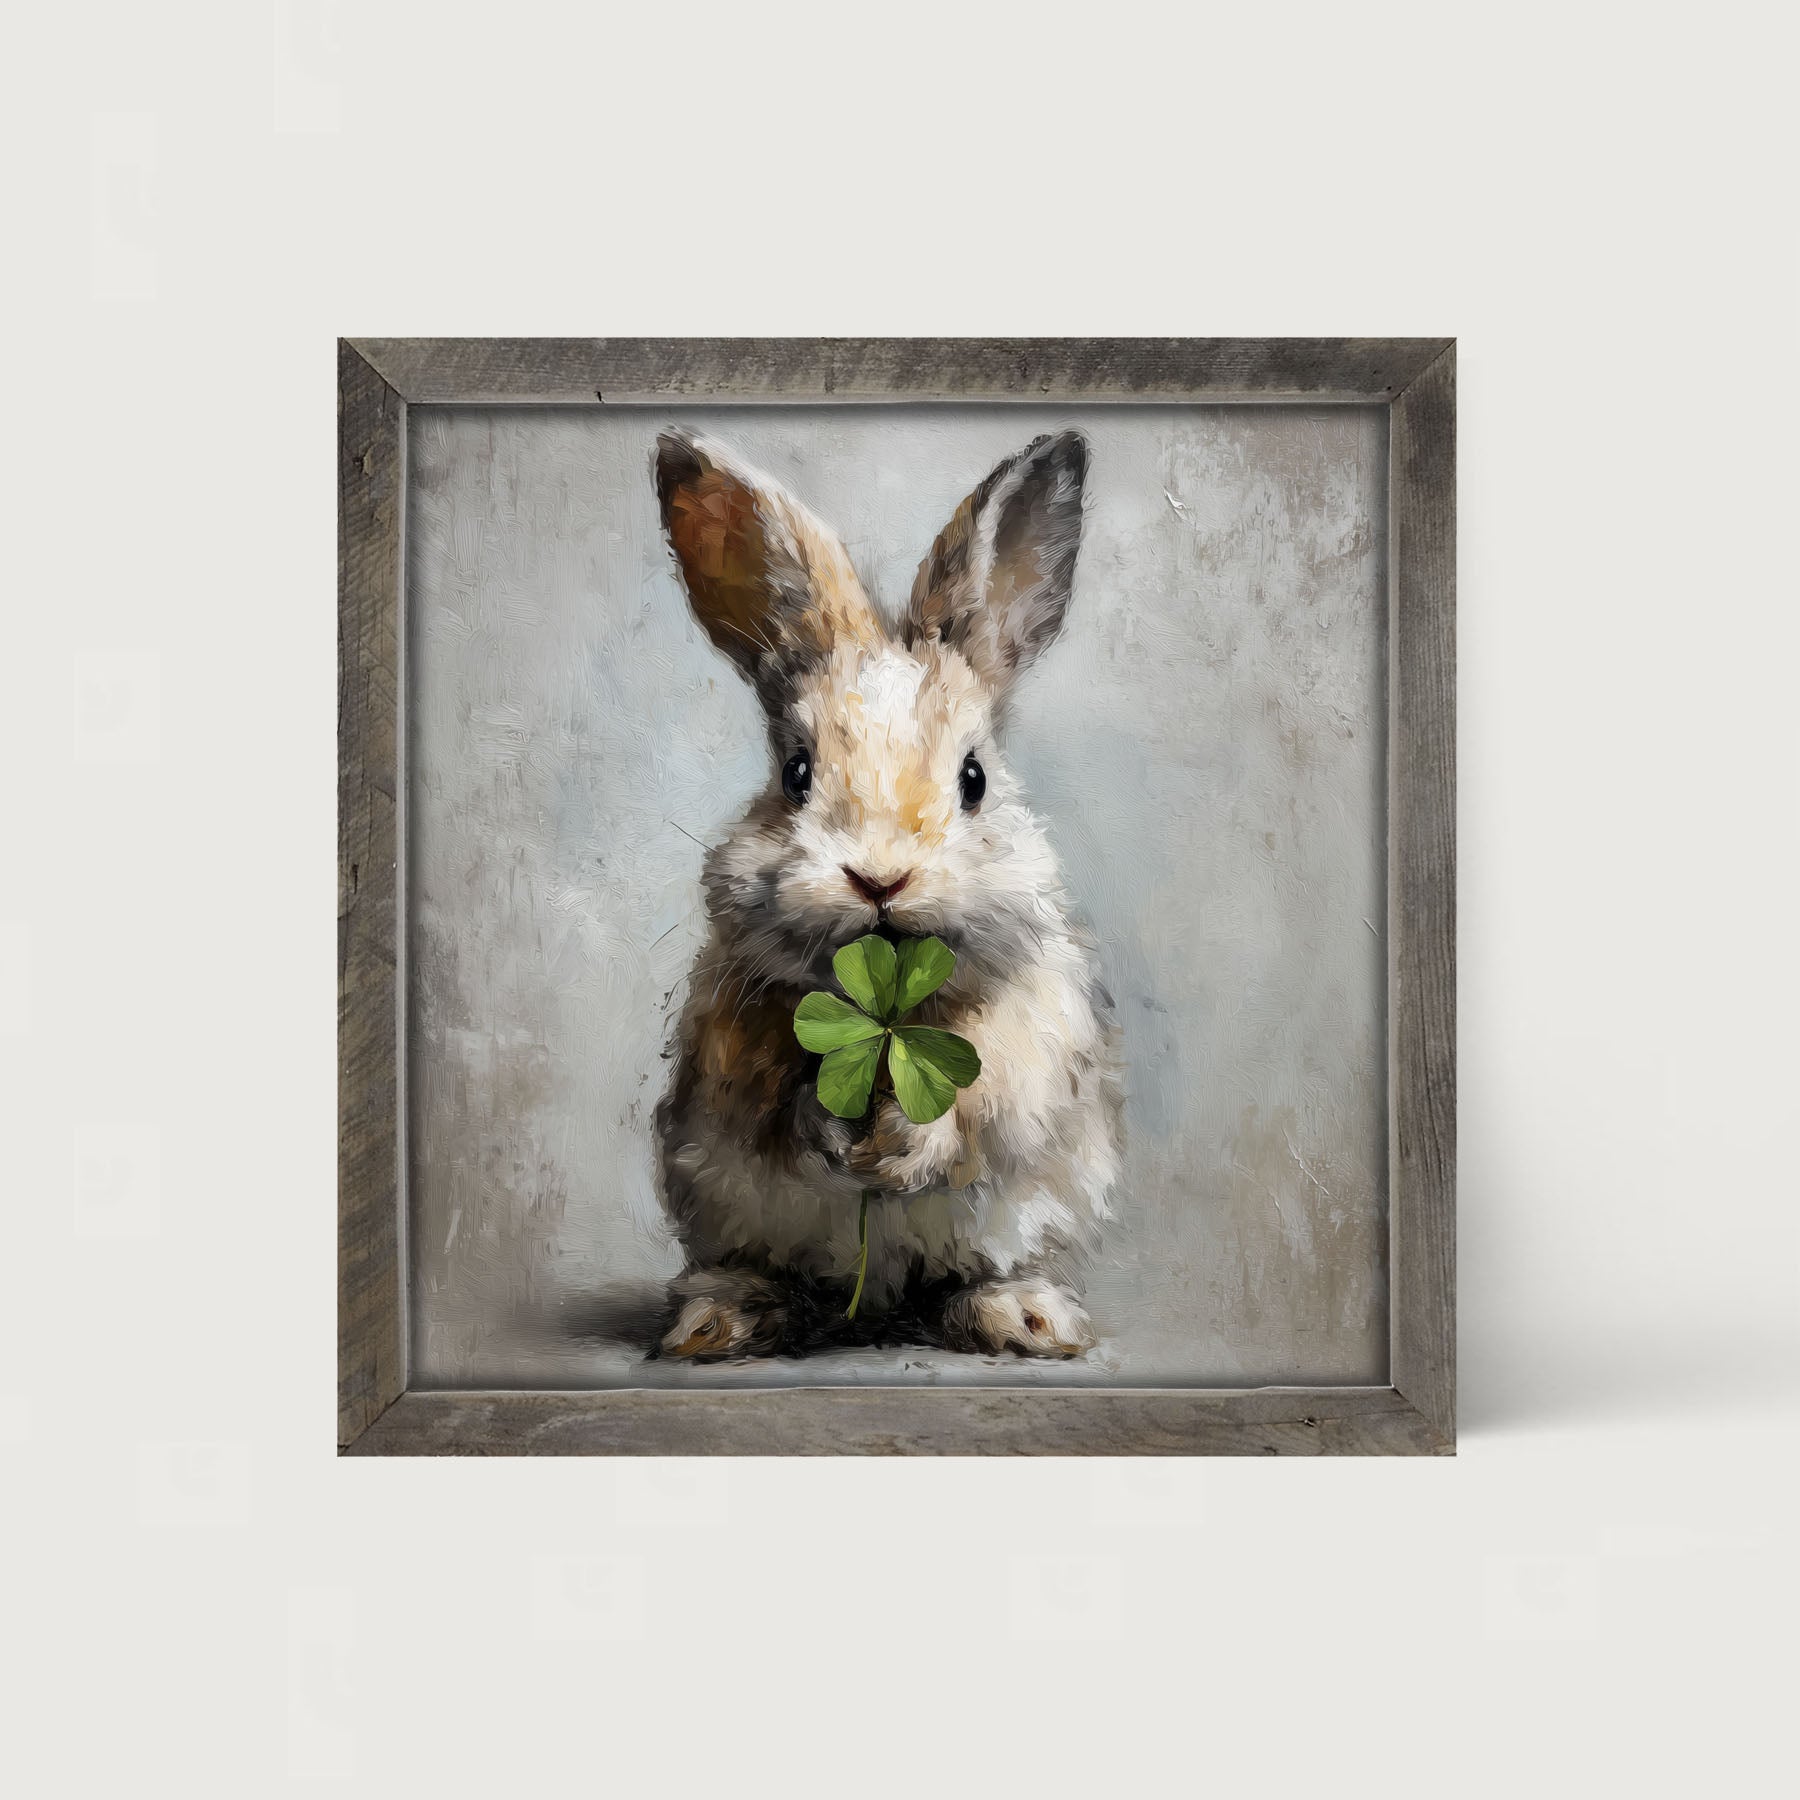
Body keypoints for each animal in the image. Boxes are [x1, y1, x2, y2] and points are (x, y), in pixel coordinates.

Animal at [650, 427, 1122, 1361]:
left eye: (974, 778)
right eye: (795, 774)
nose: (879, 877)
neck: (891, 1011)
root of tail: (878, 1302)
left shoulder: (1030, 1036)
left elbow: (981, 1097)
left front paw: (903, 1145)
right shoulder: (733, 1042)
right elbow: (778, 1100)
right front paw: (839, 1135)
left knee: (979, 1272)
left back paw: (1026, 1317)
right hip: (720, 1208)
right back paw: (721, 1320)